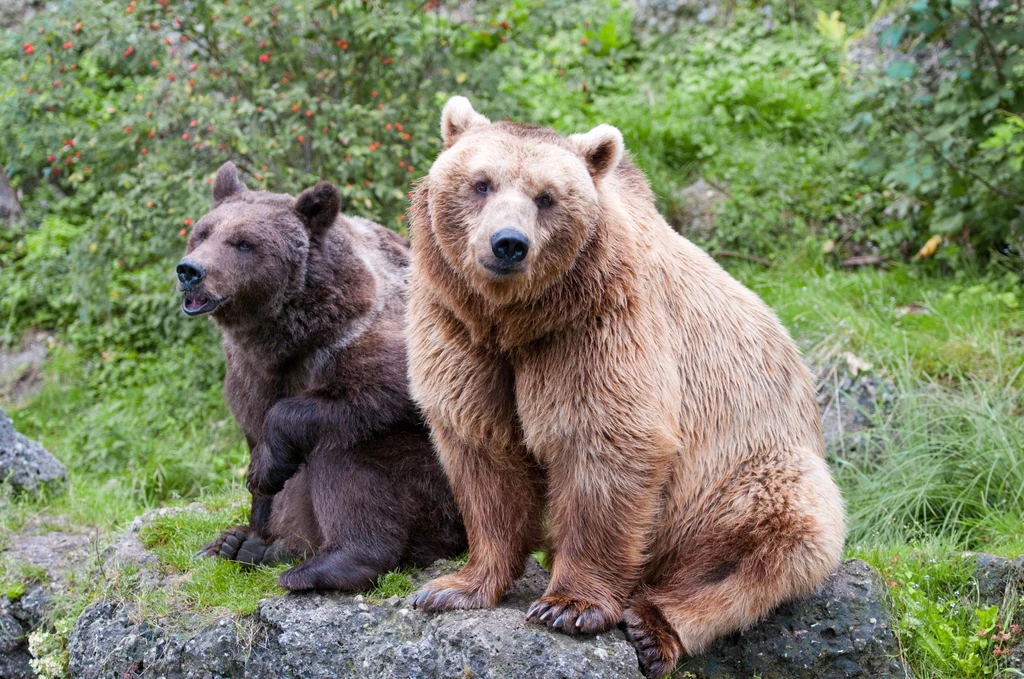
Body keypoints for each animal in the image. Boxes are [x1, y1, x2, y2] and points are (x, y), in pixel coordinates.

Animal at [178, 161, 466, 593]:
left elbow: (375, 396)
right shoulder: (249, 373)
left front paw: (264, 470)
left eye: (243, 242)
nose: (190, 271)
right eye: (203, 232)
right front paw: (251, 523)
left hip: (438, 493)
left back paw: (326, 565)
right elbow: (254, 432)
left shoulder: (362, 337)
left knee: (350, 453)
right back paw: (241, 545)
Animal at [403, 98, 843, 675]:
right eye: (481, 183)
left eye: (546, 197)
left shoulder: (599, 326)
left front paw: (568, 606)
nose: (509, 244)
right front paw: (452, 587)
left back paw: (652, 626)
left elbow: (606, 445)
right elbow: (484, 452)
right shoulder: (461, 333)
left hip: (748, 472)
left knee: (774, 541)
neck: (515, 322)